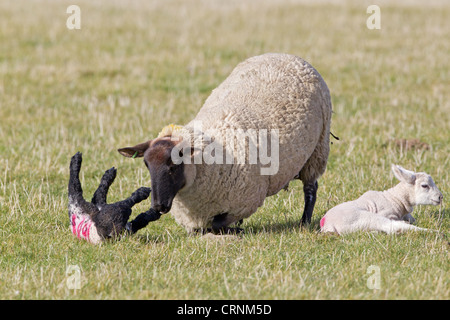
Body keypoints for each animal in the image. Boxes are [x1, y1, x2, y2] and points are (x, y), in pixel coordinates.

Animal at [118, 52, 332, 232]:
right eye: (147, 166)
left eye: (173, 166)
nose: (158, 206)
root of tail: (286, 55)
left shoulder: (244, 201)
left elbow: (216, 225)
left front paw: (236, 229)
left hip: (317, 150)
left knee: (310, 189)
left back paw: (304, 222)